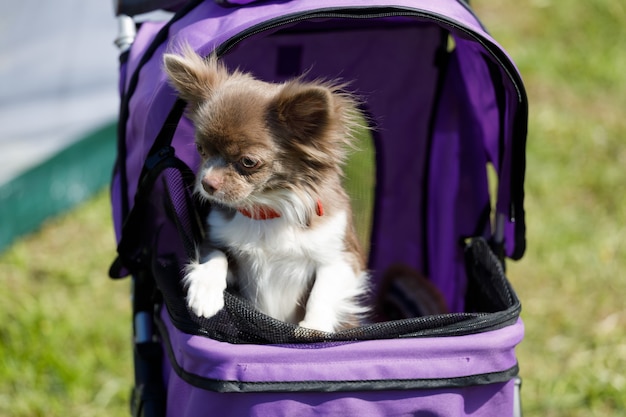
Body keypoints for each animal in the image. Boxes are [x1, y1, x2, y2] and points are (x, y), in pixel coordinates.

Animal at [162, 46, 370, 332]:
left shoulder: (343, 258)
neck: (266, 210)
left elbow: (322, 292)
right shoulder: (215, 243)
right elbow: (217, 256)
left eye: (248, 162)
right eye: (201, 150)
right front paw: (204, 292)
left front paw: (314, 328)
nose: (207, 183)